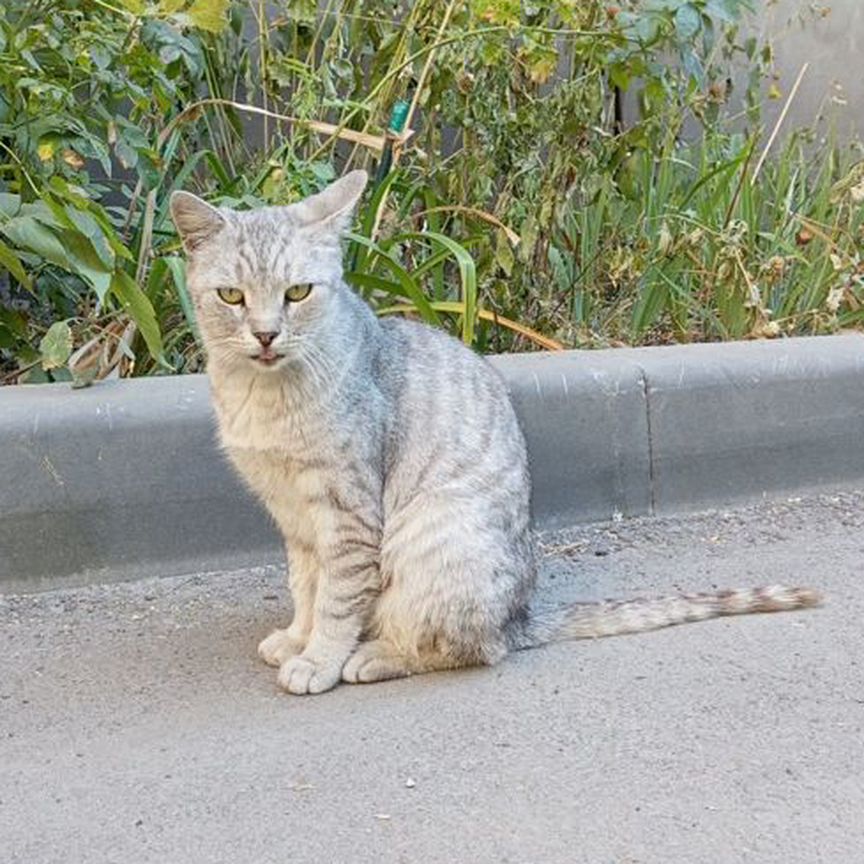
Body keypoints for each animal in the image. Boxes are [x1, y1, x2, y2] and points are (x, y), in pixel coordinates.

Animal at [170, 172, 824, 700]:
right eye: (232, 296)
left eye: (298, 292)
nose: (265, 334)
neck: (262, 396)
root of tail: (519, 616)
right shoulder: (295, 517)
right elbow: (305, 586)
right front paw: (297, 638)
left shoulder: (347, 513)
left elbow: (336, 598)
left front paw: (319, 658)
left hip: (430, 538)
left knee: (469, 648)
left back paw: (375, 655)